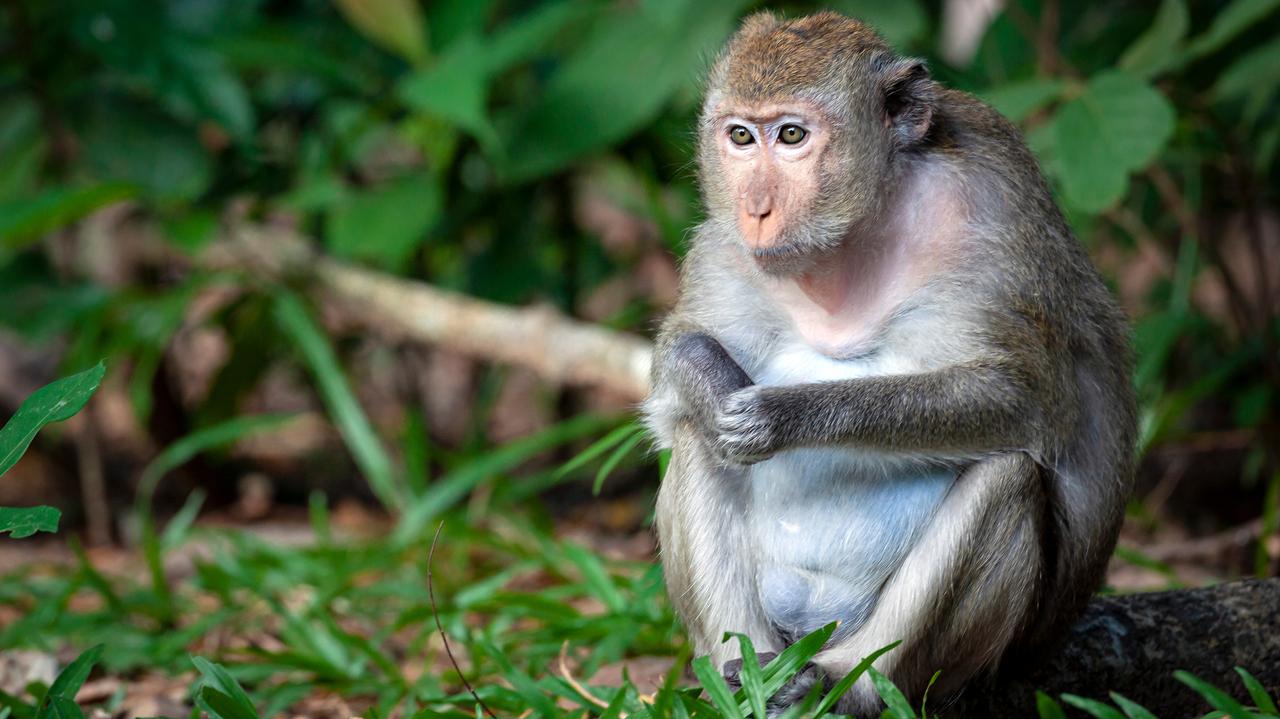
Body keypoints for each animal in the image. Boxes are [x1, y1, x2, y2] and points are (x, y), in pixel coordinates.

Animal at [645, 9, 1136, 711]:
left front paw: (784, 415)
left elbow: (1025, 400)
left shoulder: (992, 210)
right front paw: (711, 382)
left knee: (1007, 476)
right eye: (740, 136)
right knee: (694, 438)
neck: (856, 236)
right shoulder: (723, 245)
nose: (756, 208)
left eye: (791, 135)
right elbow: (678, 368)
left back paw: (843, 684)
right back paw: (748, 676)